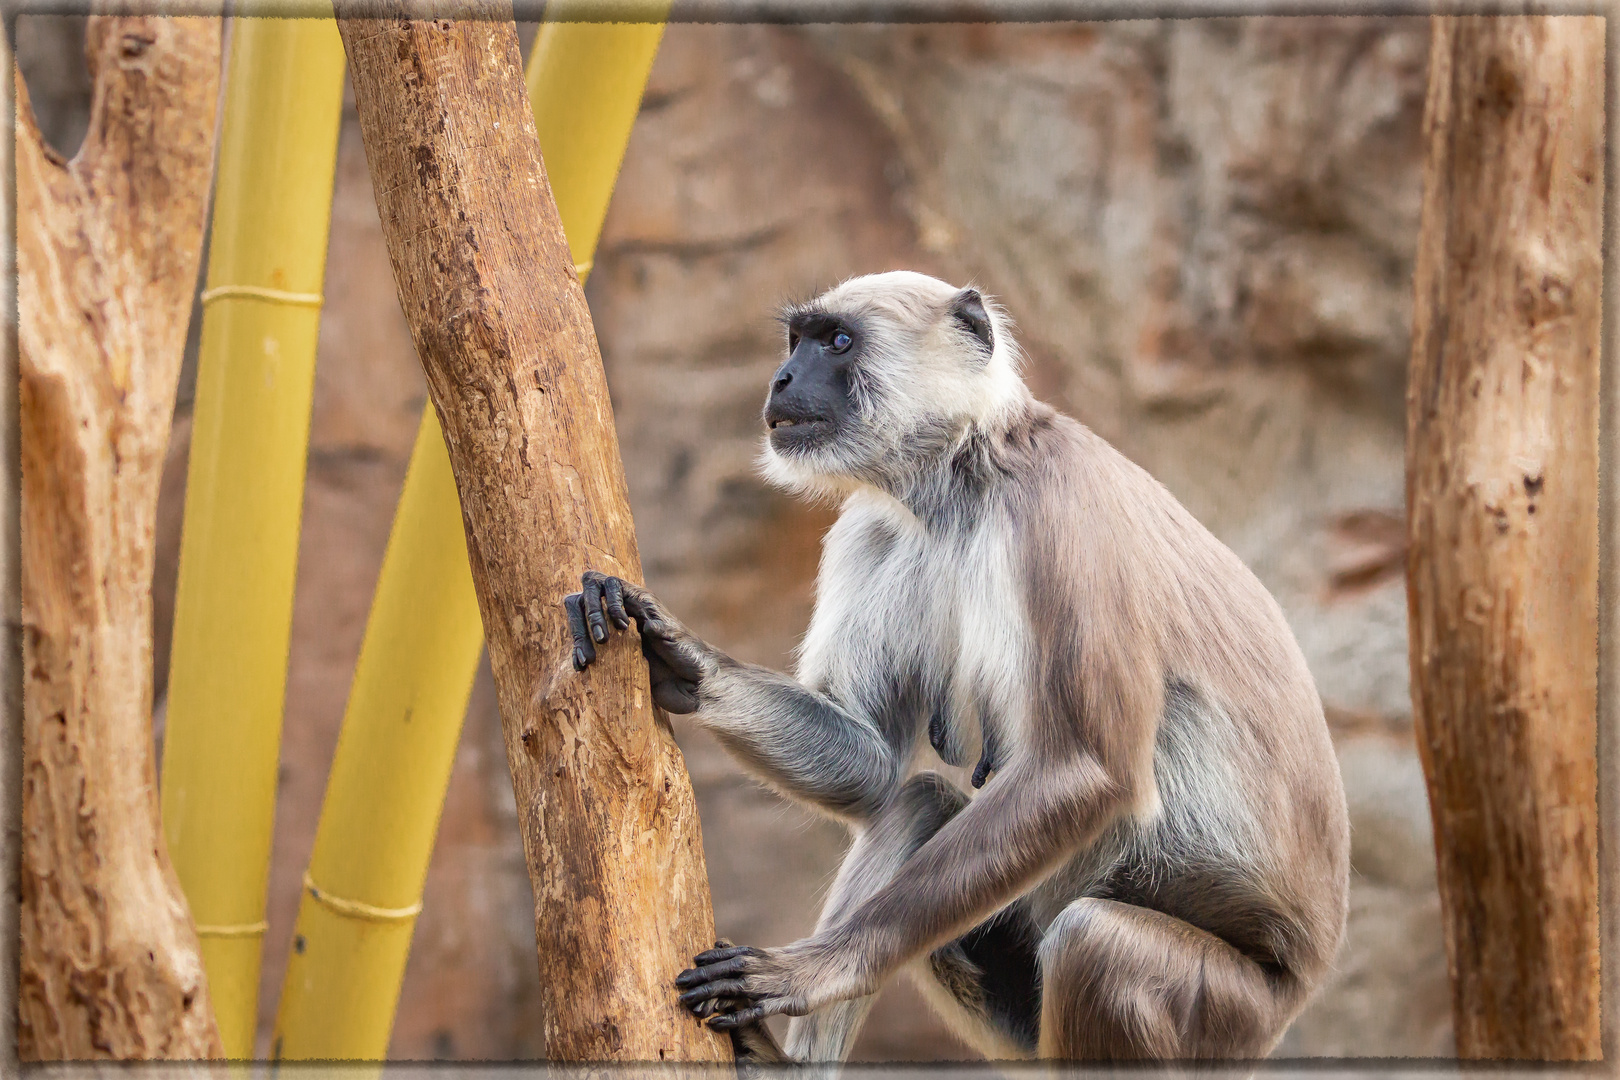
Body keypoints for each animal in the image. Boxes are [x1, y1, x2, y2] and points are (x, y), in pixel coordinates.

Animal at [563, 272, 1347, 1062]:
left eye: (837, 342)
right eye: (797, 342)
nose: (782, 378)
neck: (965, 483)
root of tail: (1300, 985)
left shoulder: (1059, 503)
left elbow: (1084, 769)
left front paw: (822, 967)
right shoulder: (875, 528)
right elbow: (876, 765)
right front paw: (682, 662)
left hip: (1227, 1011)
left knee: (1095, 943)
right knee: (920, 802)